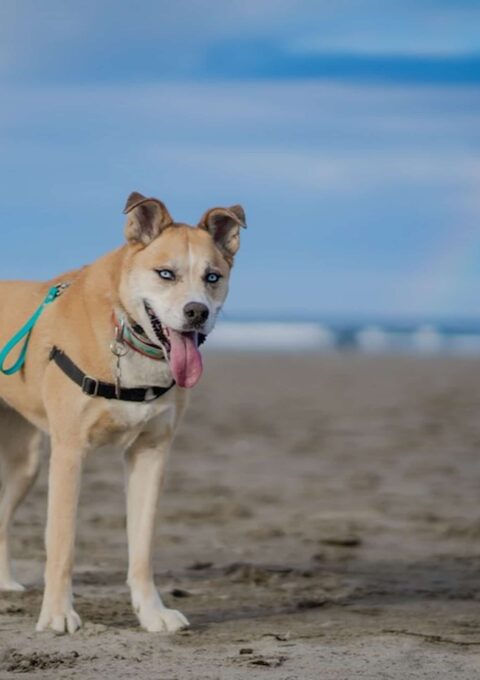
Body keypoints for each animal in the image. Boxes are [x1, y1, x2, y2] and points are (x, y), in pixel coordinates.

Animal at [0, 194, 246, 636]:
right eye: (166, 273)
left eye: (212, 277)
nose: (197, 312)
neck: (126, 332)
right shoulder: (69, 453)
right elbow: (61, 544)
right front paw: (58, 613)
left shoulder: (151, 453)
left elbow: (142, 546)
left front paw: (152, 612)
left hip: (24, 464)